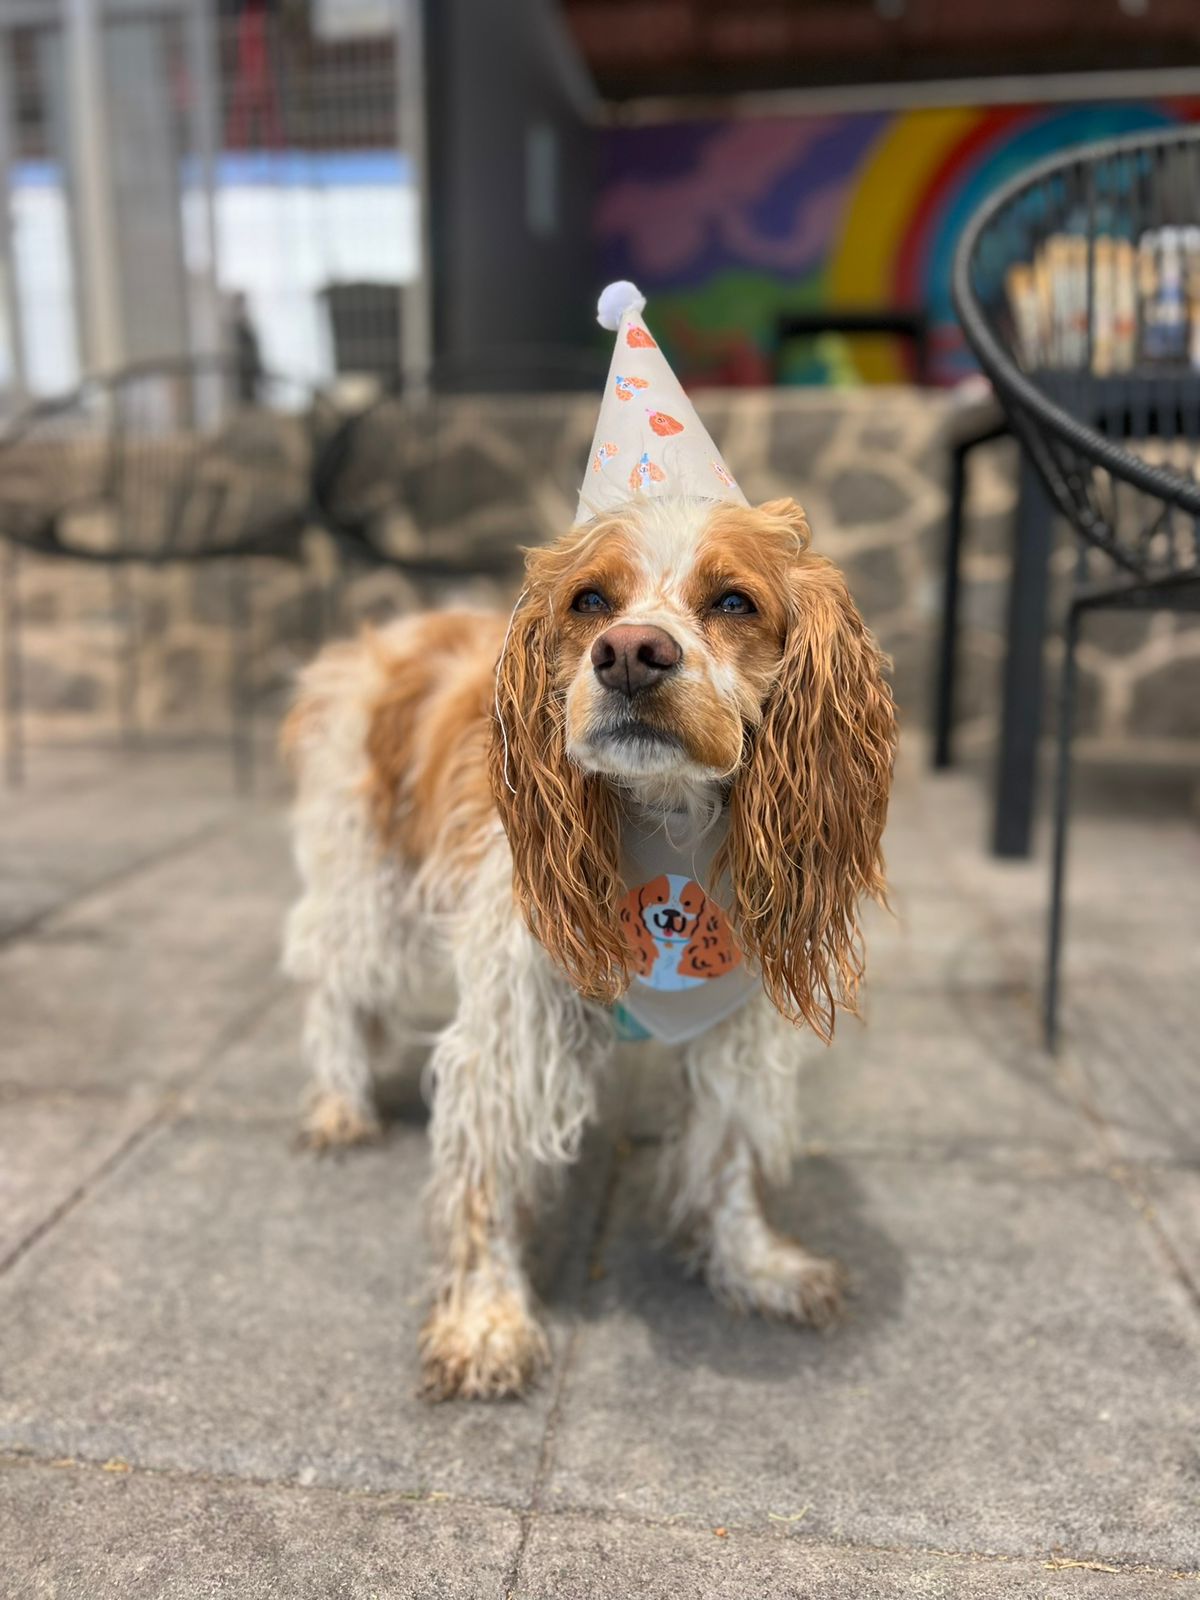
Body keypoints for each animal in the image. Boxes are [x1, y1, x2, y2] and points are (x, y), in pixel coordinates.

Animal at [281, 496, 896, 1401]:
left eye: (736, 602)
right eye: (591, 602)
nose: (631, 653)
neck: (665, 822)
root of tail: (401, 628)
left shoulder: (731, 1025)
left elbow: (728, 1154)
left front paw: (754, 1265)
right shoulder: (514, 1026)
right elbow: (489, 1179)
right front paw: (486, 1321)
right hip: (366, 879)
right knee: (334, 991)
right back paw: (338, 1105)